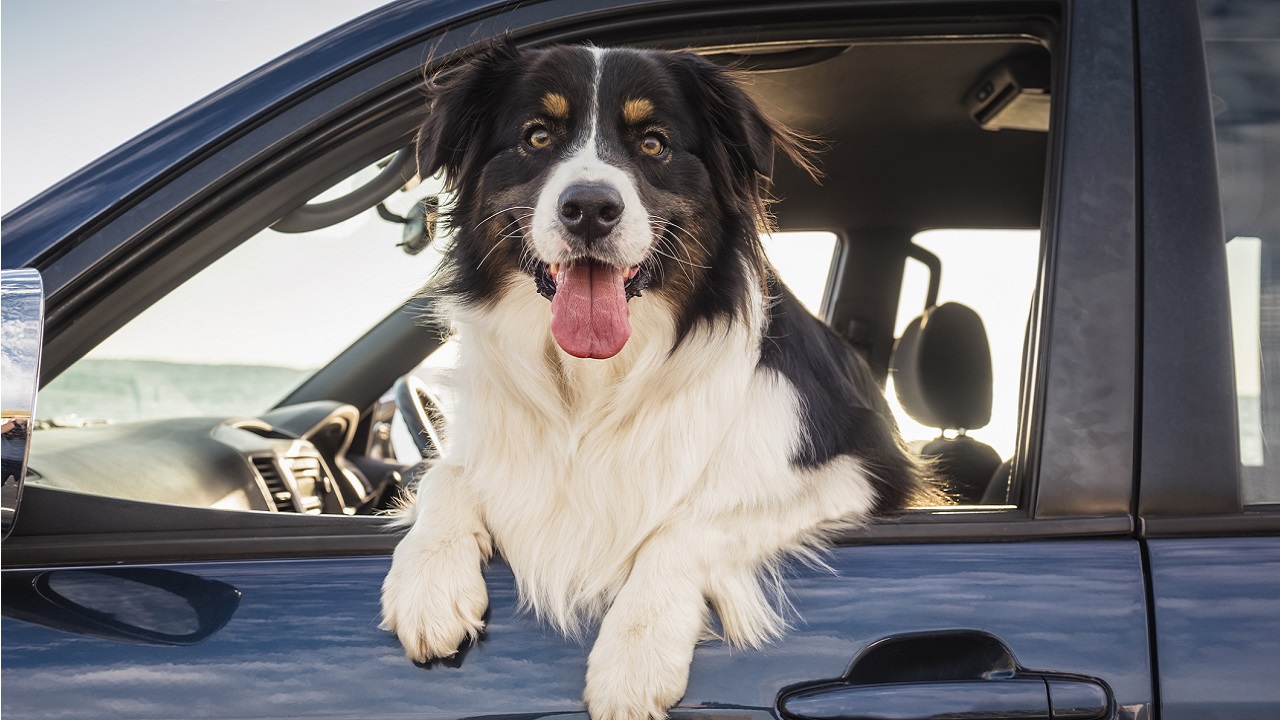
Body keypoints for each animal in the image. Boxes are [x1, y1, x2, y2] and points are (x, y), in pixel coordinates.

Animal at [376, 43, 921, 717]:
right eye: (537, 136)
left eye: (654, 143)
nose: (589, 209)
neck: (594, 383)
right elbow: (445, 475)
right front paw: (427, 583)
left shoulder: (859, 471)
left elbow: (687, 524)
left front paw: (633, 656)